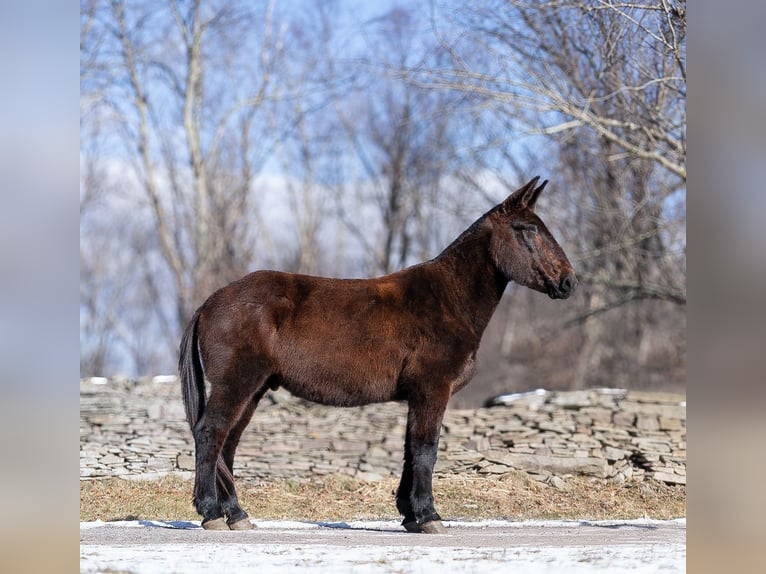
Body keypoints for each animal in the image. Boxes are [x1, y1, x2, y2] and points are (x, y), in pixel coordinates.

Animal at [179, 176, 577, 533]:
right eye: (528, 229)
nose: (569, 281)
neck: (447, 299)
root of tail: (210, 303)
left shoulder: (418, 395)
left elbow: (410, 450)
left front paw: (410, 515)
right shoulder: (433, 389)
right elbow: (426, 449)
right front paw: (429, 516)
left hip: (253, 389)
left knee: (227, 443)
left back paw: (236, 515)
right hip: (237, 385)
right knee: (210, 434)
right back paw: (211, 513)